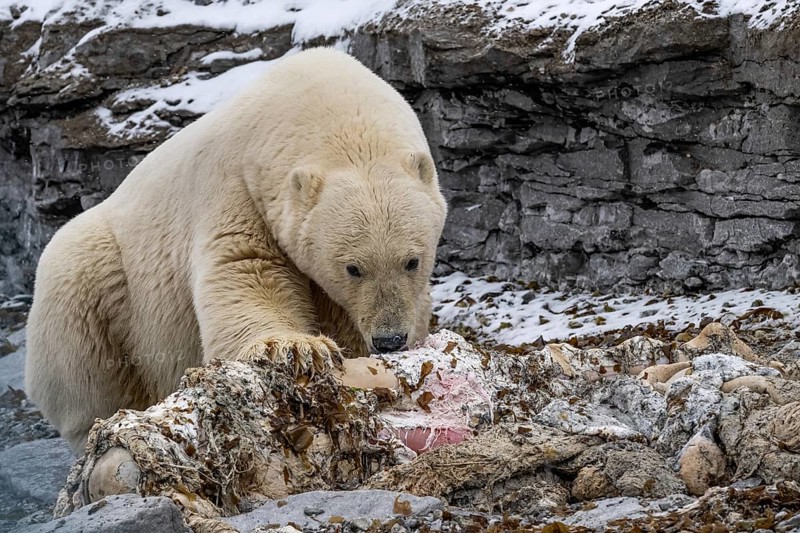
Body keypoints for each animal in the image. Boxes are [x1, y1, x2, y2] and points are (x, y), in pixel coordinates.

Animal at [25, 47, 448, 453]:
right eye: (353, 268)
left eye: (412, 261)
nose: (390, 339)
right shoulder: (238, 185)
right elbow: (246, 267)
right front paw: (295, 349)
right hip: (101, 285)